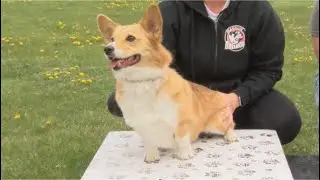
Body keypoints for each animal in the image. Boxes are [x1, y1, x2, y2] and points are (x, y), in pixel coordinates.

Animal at [97, 4, 238, 163]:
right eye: (112, 39)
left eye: (130, 38)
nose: (107, 49)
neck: (141, 81)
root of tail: (218, 95)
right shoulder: (143, 125)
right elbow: (149, 141)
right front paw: (152, 156)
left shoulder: (181, 121)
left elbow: (182, 139)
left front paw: (185, 154)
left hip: (217, 123)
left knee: (230, 125)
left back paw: (230, 136)